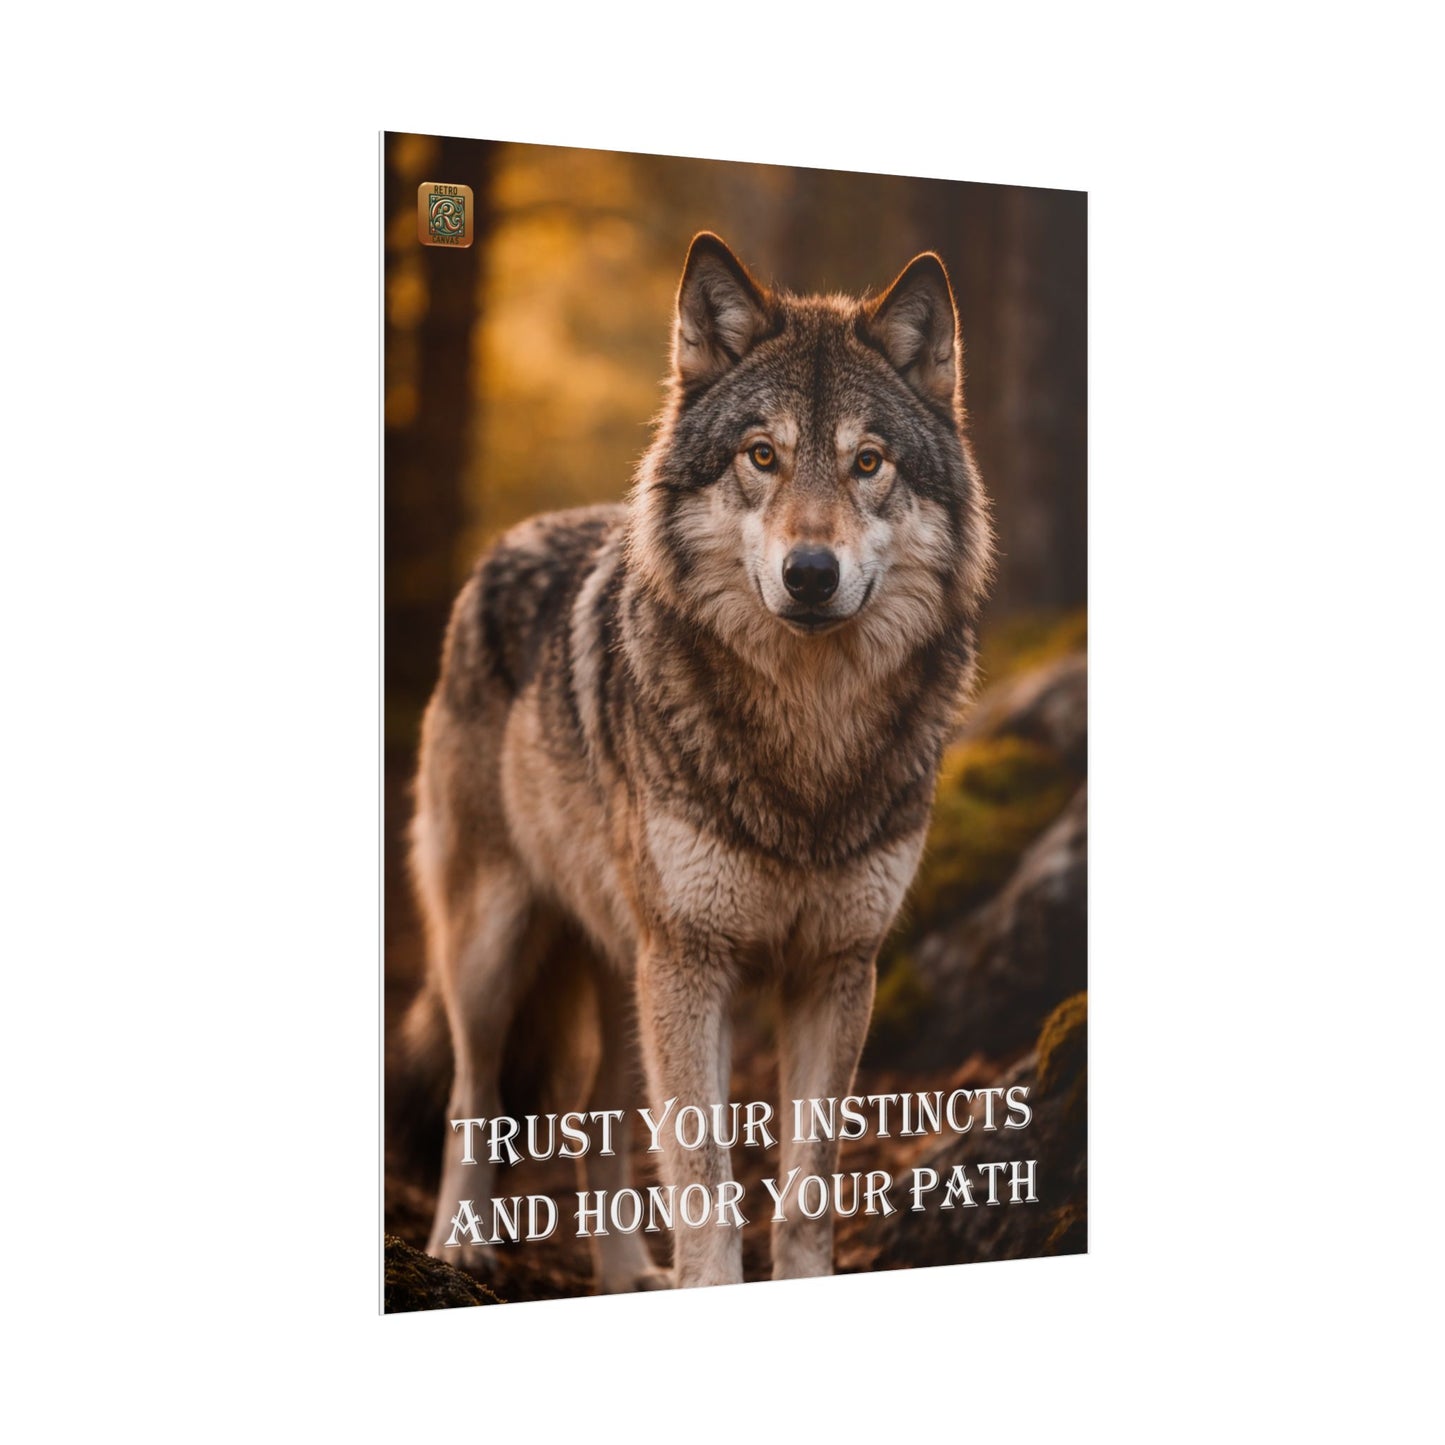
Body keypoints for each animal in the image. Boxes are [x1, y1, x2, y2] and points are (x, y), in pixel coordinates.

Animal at [400, 232, 993, 1292]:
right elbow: (706, 1177)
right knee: (475, 1095)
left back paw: (628, 1269)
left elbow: (803, 1188)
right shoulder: (693, 961)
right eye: (761, 456)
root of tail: (506, 543)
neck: (806, 740)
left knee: (596, 1117)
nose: (810, 573)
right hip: (496, 946)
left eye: (867, 463)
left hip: (625, 967)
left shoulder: (835, 969)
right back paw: (460, 1246)